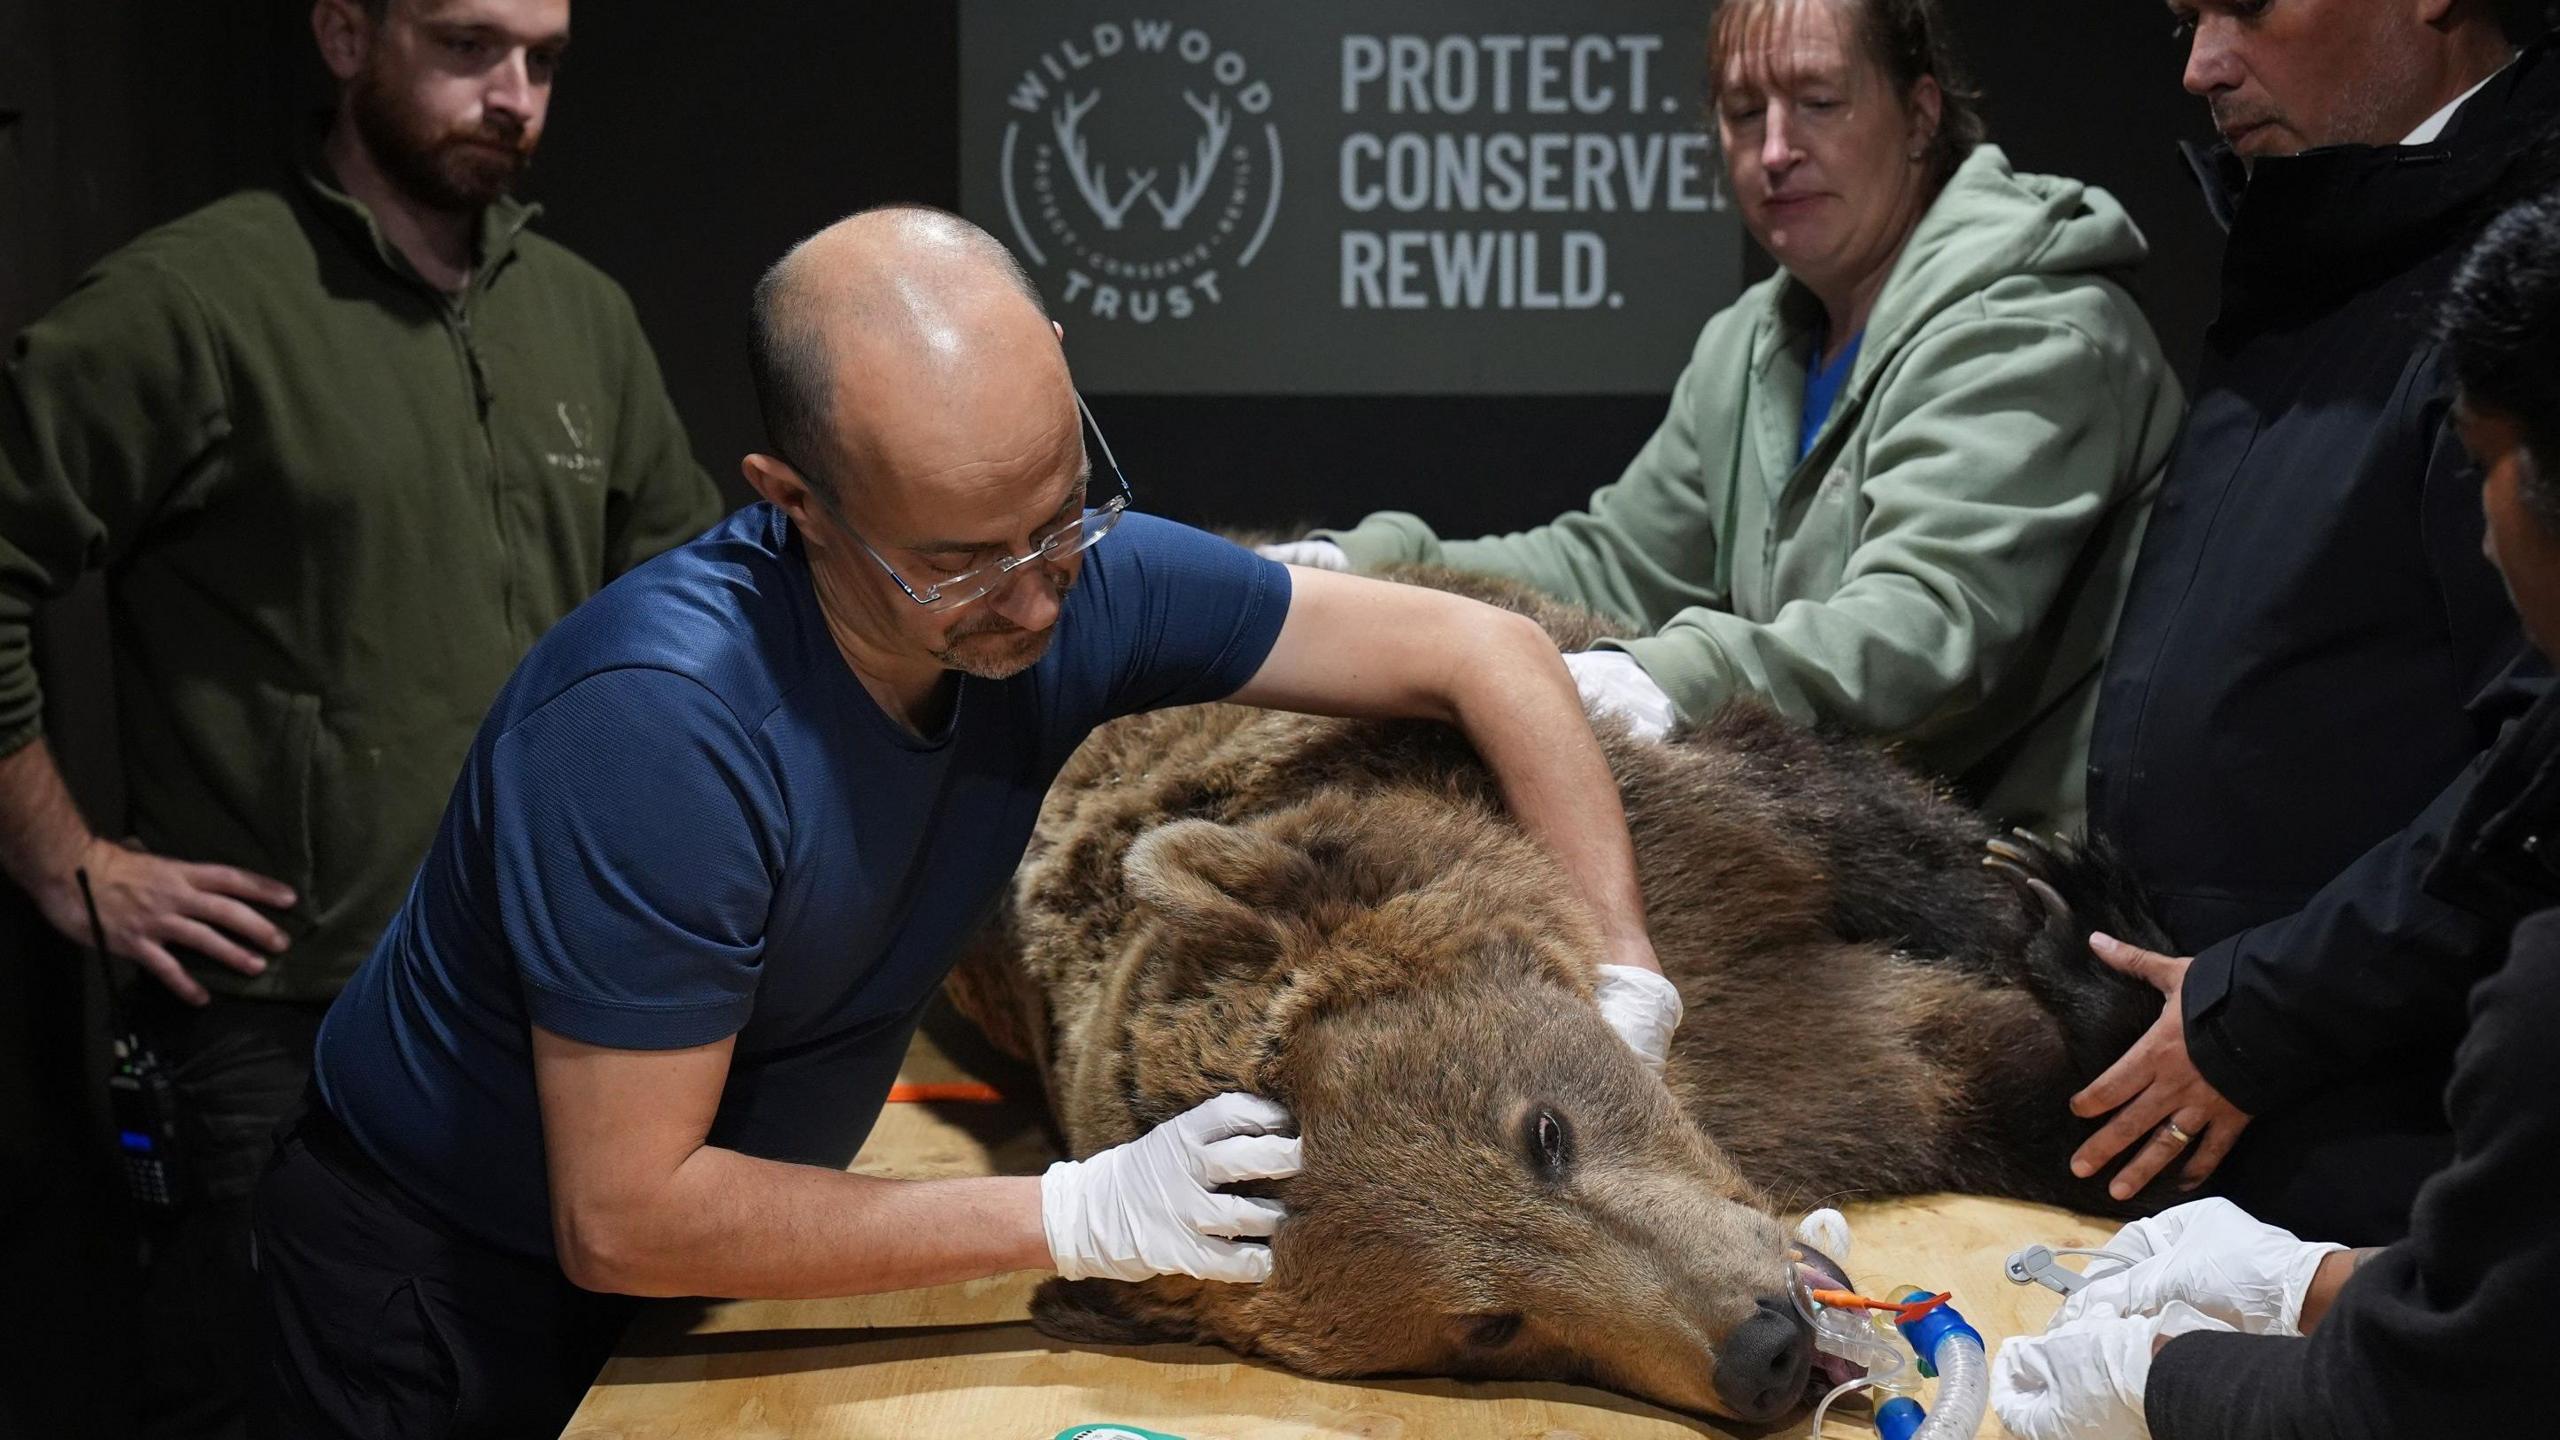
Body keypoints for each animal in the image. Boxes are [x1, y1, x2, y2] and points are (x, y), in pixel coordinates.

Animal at [952, 563, 2170, 1424]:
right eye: (1489, 1326)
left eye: (1544, 1132)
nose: (1765, 1350)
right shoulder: (1823, 1065)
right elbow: (1983, 1082)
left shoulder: (1704, 855)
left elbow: (1914, 885)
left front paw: (2082, 946)